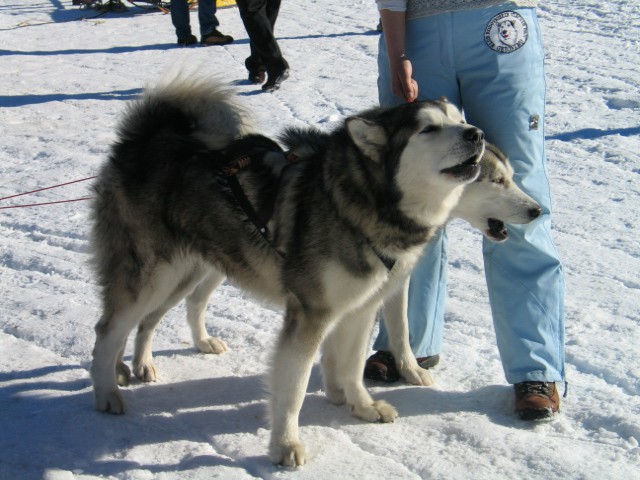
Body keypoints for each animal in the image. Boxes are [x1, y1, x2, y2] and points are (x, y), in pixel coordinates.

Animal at [86, 75, 528, 464]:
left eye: (457, 118)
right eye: (429, 129)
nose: (476, 133)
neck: (361, 203)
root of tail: (143, 139)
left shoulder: (361, 307)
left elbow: (352, 364)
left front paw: (360, 405)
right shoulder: (311, 314)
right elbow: (294, 388)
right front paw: (285, 445)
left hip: (192, 271)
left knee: (152, 319)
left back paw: (139, 364)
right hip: (151, 276)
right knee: (109, 329)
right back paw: (106, 390)